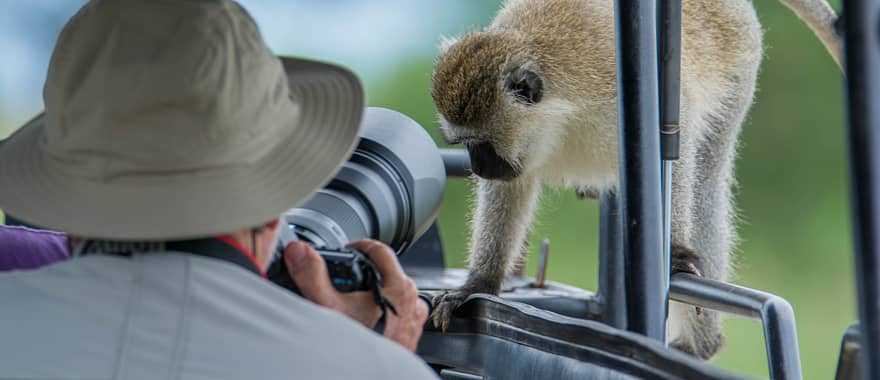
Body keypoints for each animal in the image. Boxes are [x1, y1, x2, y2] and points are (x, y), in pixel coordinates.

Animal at [430, 0, 844, 360]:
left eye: (481, 145)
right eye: (464, 145)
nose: (479, 168)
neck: (558, 111)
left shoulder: (612, 87)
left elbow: (678, 135)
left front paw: (676, 252)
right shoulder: (523, 151)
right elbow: (511, 187)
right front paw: (479, 284)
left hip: (739, 65)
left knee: (707, 179)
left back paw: (700, 345)